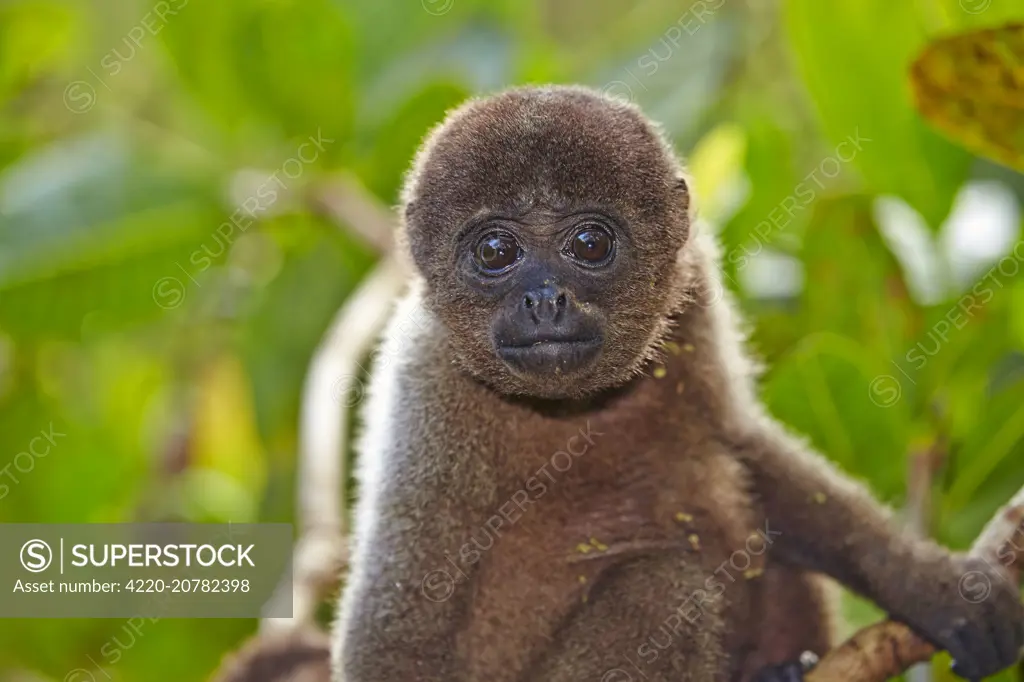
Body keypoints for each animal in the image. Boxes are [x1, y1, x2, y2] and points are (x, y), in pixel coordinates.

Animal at [331, 86, 1019, 679]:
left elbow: (743, 442)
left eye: (590, 242)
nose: (545, 299)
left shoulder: (695, 287)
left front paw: (936, 589)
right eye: (495, 252)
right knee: (664, 587)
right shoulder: (428, 389)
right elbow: (395, 622)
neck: (576, 406)